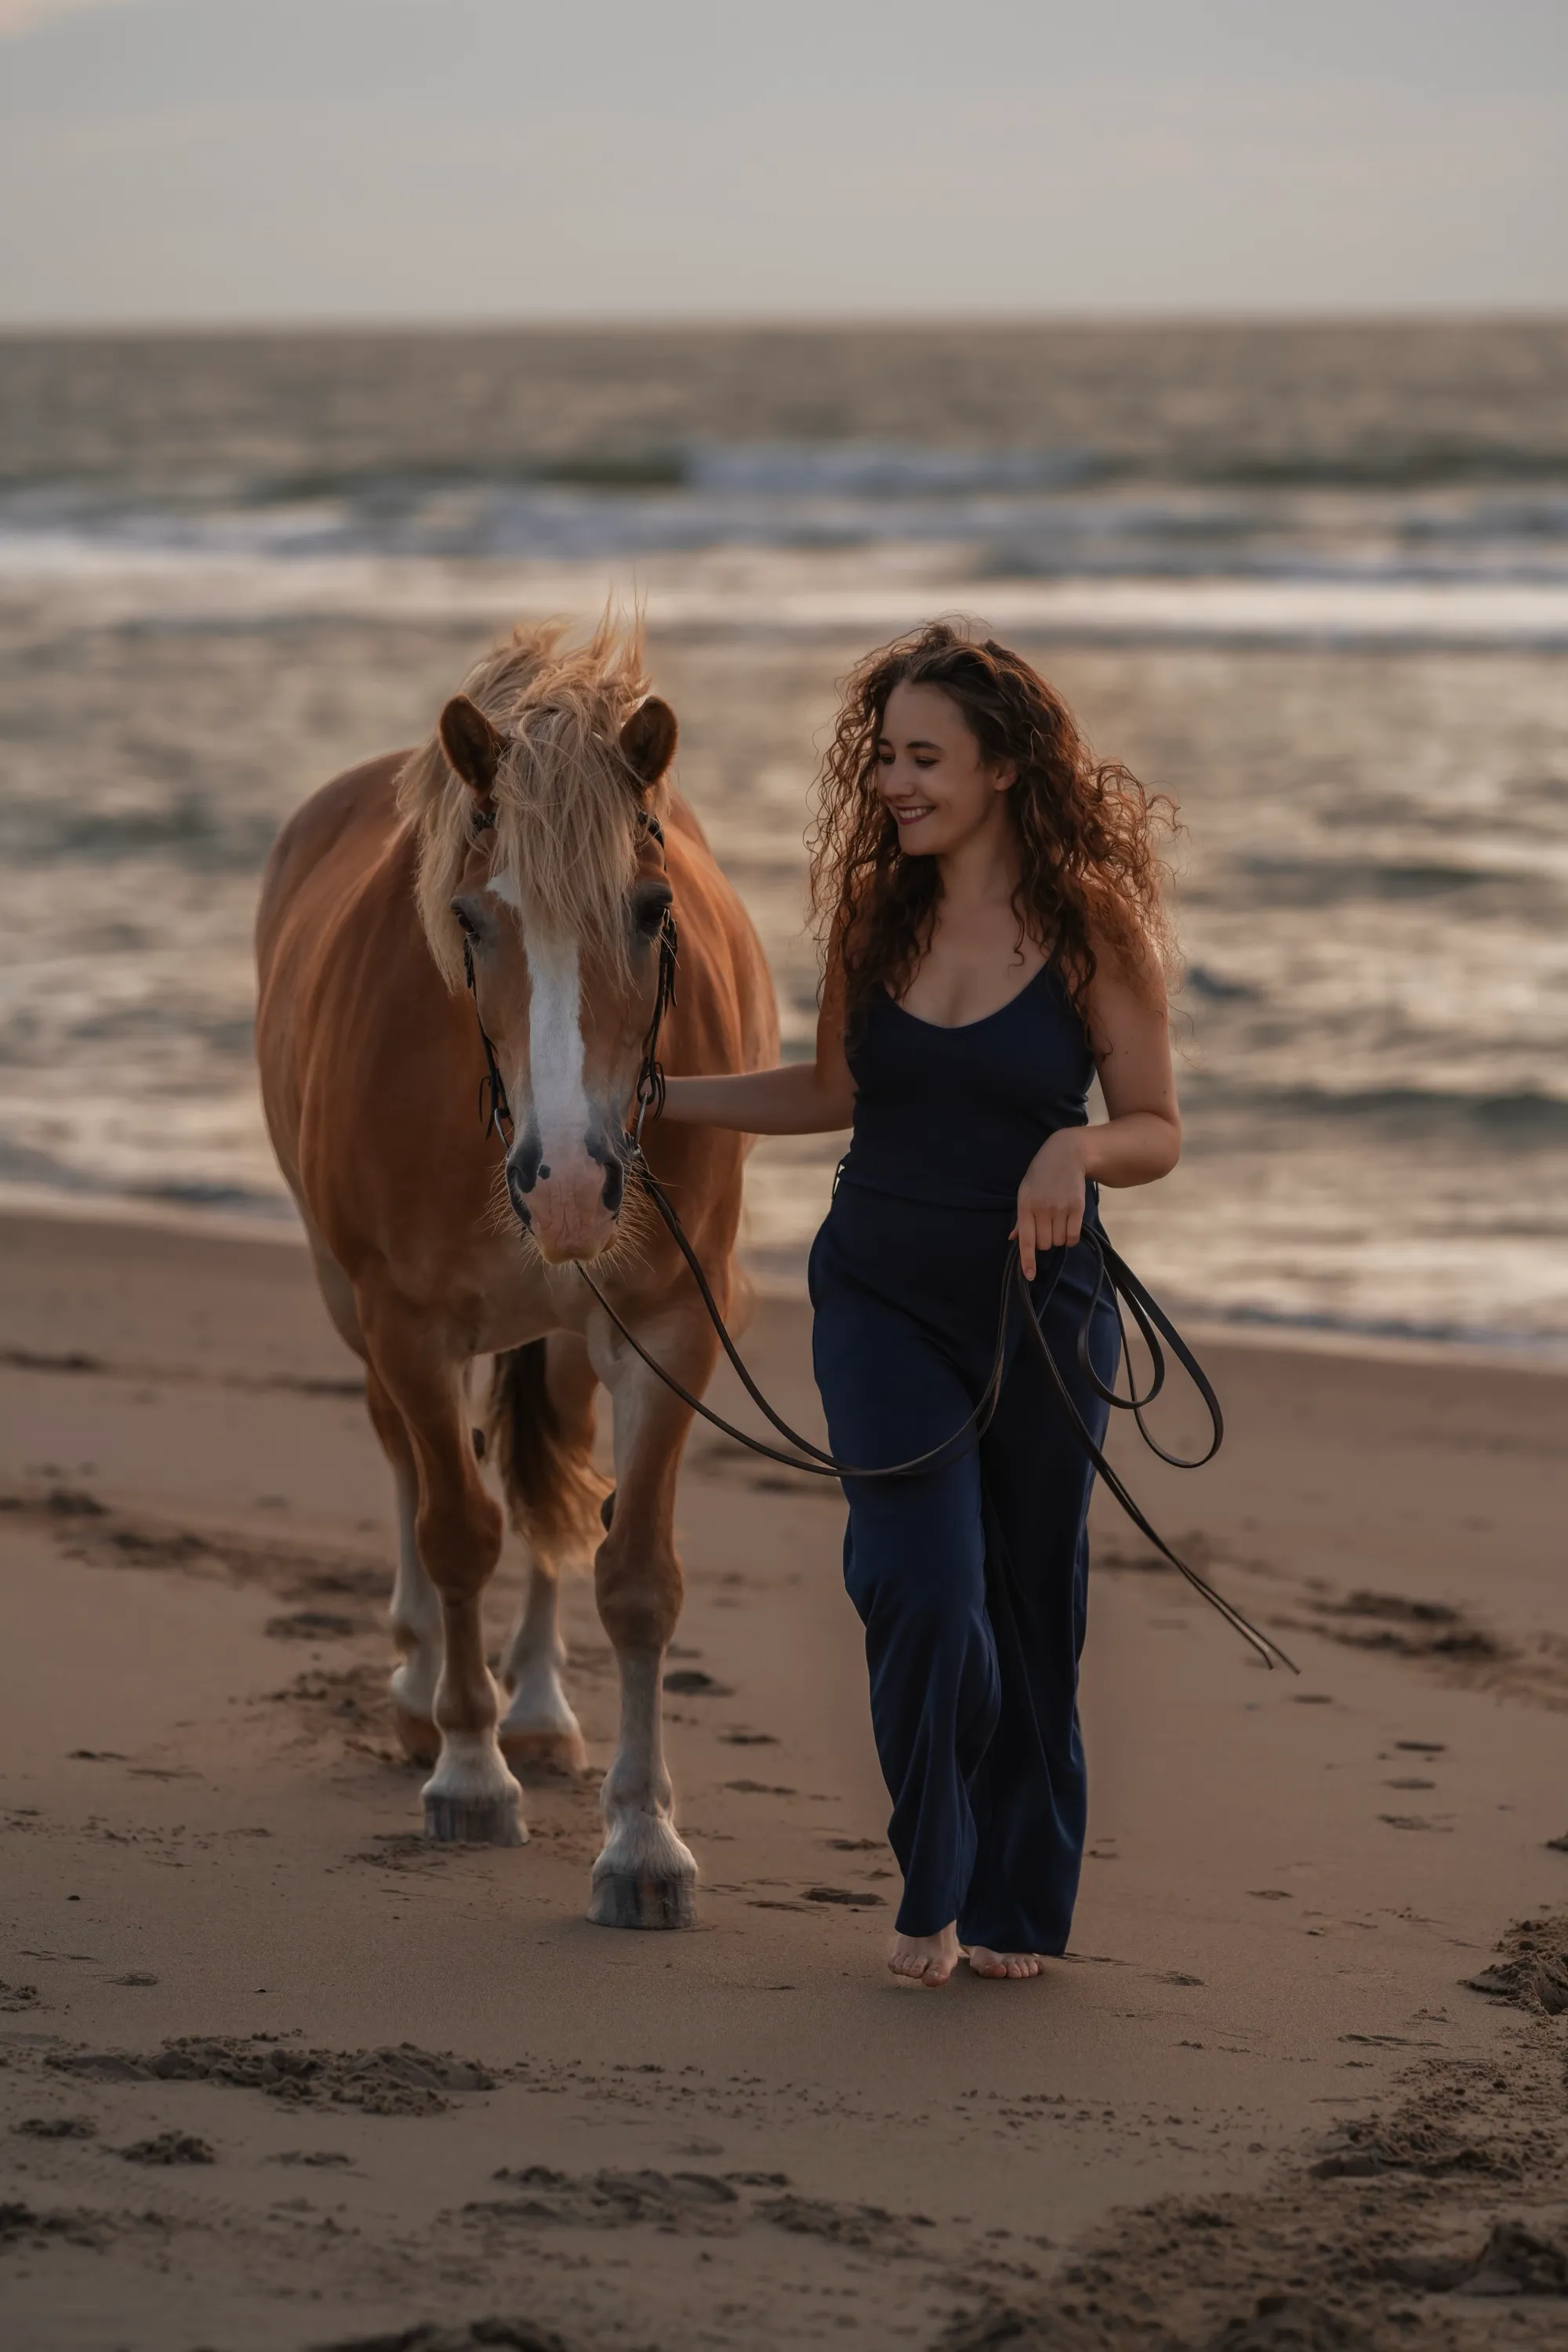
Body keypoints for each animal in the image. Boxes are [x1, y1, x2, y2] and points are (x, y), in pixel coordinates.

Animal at [254, 619, 777, 1927]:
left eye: (651, 909)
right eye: (471, 920)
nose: (574, 1184)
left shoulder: (668, 1324)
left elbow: (633, 1573)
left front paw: (641, 1841)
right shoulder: (404, 1321)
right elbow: (453, 1530)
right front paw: (467, 1772)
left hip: (574, 1332)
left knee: (555, 1491)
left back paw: (537, 1710)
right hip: (357, 1310)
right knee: (408, 1463)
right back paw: (423, 1690)